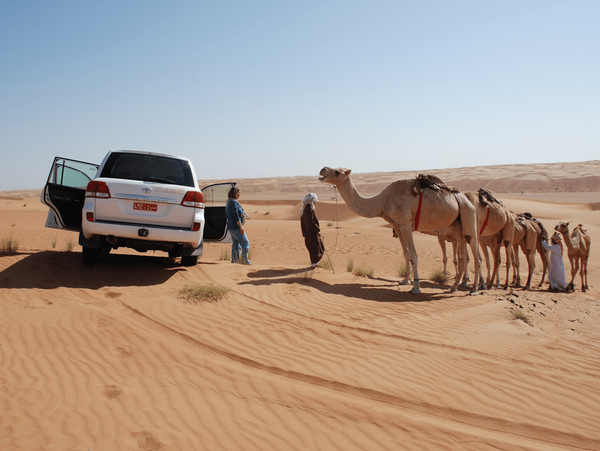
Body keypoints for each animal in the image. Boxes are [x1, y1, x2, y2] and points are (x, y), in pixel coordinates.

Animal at [318, 168, 482, 294]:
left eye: (337, 171)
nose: (322, 169)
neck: (383, 202)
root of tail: (465, 198)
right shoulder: (397, 226)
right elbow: (406, 254)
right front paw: (405, 280)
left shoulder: (405, 225)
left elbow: (414, 255)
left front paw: (416, 287)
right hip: (457, 226)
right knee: (464, 257)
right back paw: (455, 287)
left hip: (468, 216)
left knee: (476, 255)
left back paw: (474, 289)